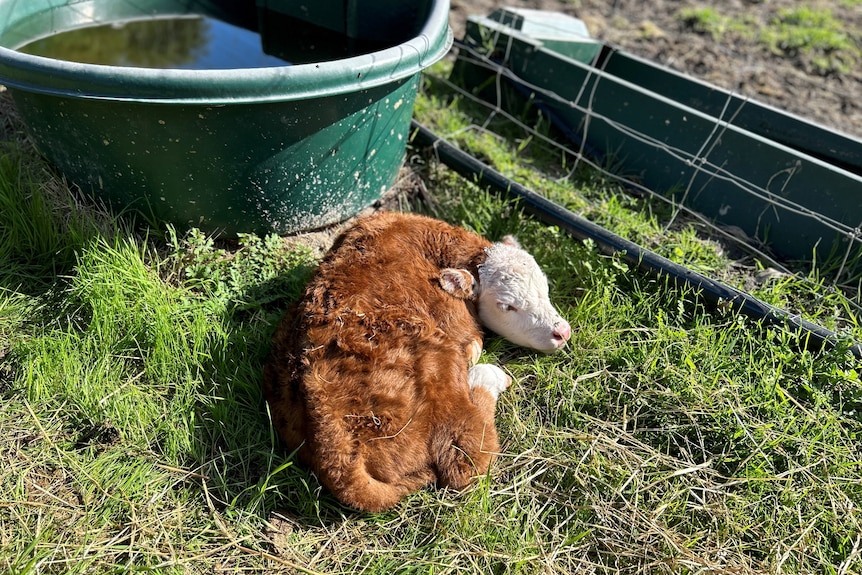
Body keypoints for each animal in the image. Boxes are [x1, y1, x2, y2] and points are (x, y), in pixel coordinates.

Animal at [264, 213, 572, 512]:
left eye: (545, 287)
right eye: (507, 306)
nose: (563, 332)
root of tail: (335, 453)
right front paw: (476, 352)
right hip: (442, 376)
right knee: (467, 461)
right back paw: (486, 377)